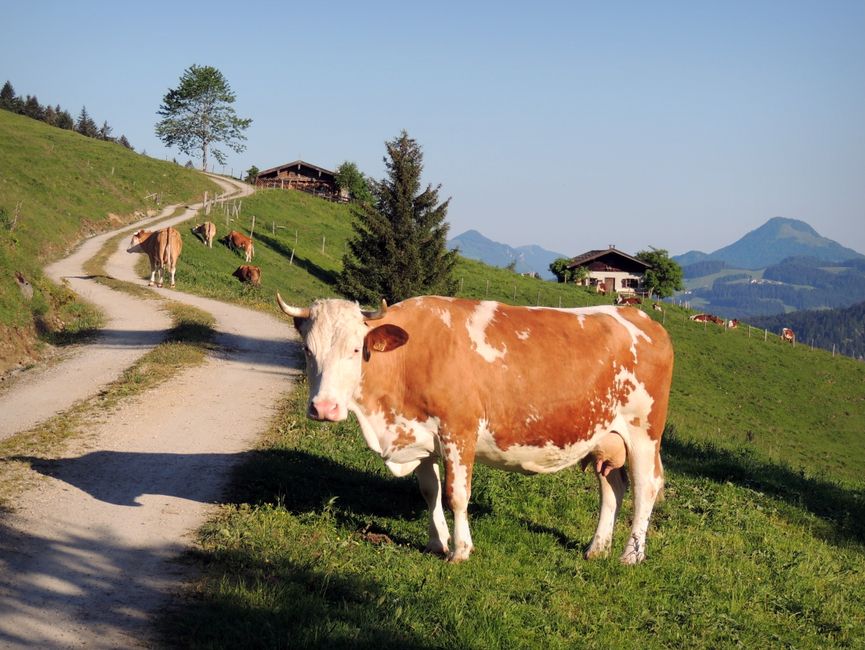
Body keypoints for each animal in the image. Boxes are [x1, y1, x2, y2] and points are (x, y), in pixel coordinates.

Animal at [277, 294, 674, 565]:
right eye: (308, 350)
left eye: (356, 350)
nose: (324, 408)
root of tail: (639, 316)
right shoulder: (421, 436)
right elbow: (429, 491)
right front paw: (436, 541)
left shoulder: (459, 431)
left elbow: (456, 494)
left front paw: (460, 549)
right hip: (605, 438)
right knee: (613, 488)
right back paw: (597, 547)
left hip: (644, 432)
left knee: (646, 486)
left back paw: (631, 555)